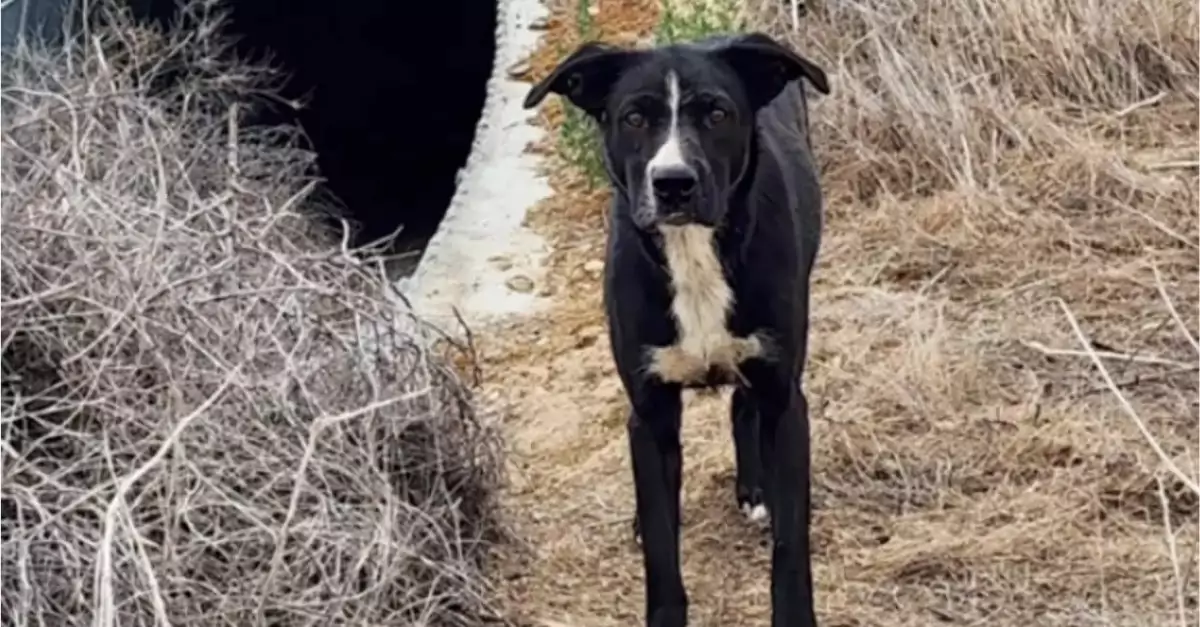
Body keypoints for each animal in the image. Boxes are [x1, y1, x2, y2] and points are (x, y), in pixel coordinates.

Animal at [520, 32, 830, 624]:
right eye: (634, 117)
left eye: (717, 113)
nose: (673, 184)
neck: (692, 253)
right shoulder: (651, 410)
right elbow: (663, 547)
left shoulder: (784, 396)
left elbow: (791, 543)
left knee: (743, 406)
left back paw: (756, 489)